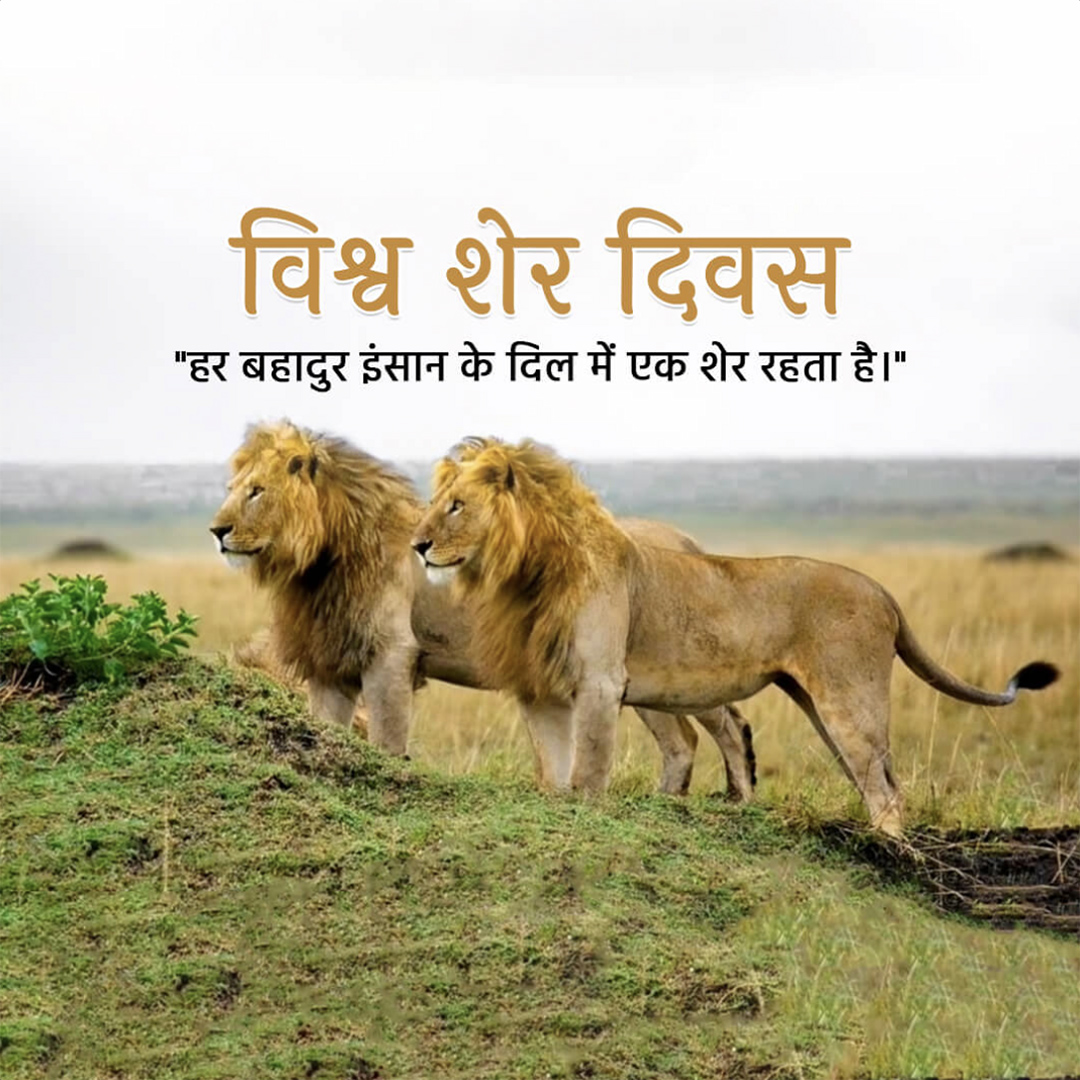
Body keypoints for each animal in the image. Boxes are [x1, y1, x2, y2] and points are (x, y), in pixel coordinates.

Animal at [209, 421, 756, 798]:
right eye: (231, 490)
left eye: (256, 492)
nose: (216, 531)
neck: (322, 560)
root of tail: (685, 539)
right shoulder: (332, 661)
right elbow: (327, 728)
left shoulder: (392, 656)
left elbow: (386, 740)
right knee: (684, 741)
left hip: (675, 672)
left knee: (728, 723)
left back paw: (738, 801)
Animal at [411, 438, 1061, 836]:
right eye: (434, 504)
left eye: (456, 506)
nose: (416, 545)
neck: (527, 574)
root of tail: (883, 591)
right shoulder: (542, 687)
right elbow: (553, 773)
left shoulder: (599, 683)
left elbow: (587, 773)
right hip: (823, 708)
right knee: (874, 781)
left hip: (848, 702)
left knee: (885, 792)